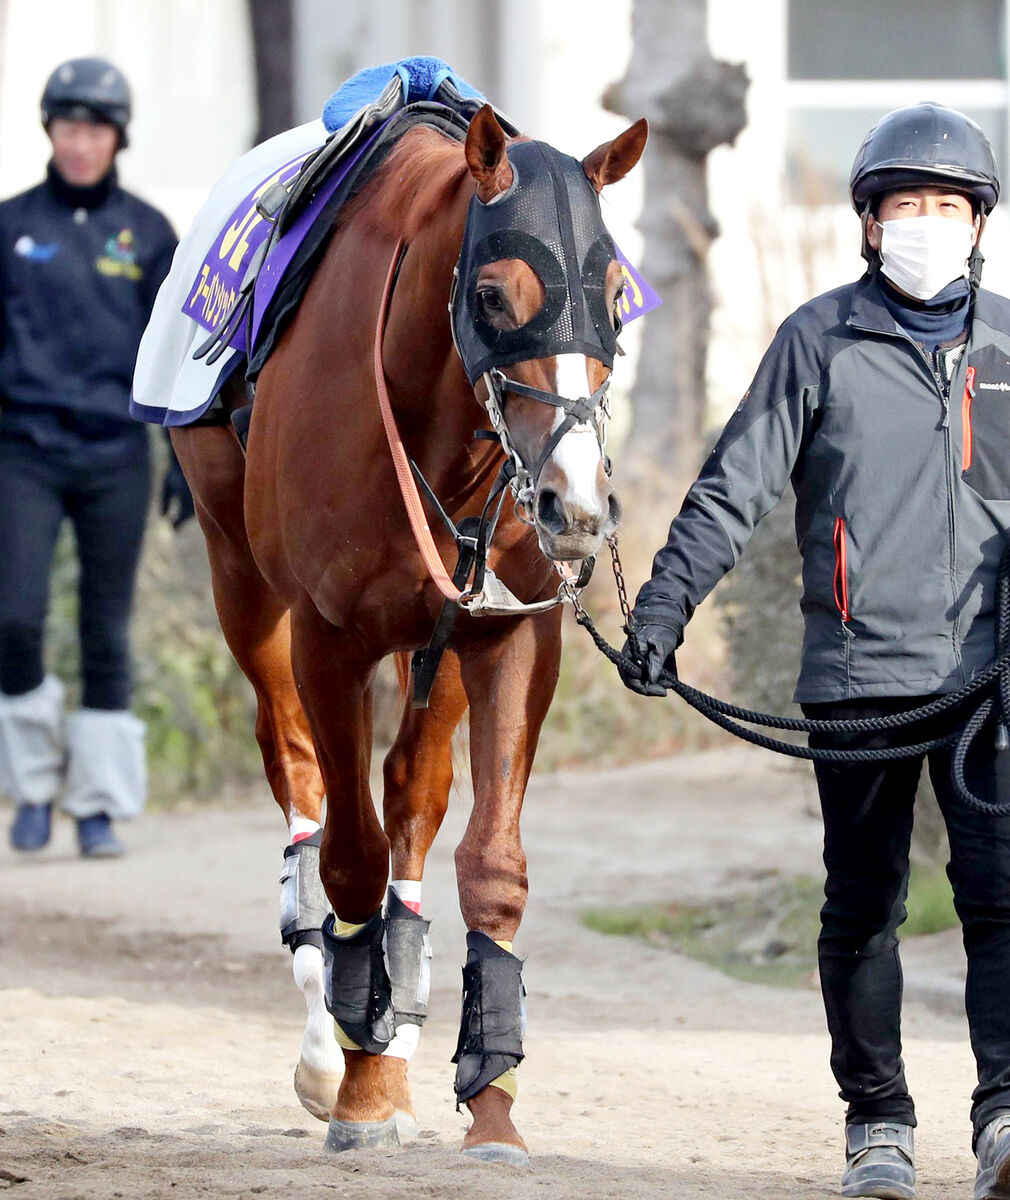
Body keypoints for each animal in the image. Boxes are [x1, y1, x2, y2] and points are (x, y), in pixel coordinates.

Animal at [171, 105, 647, 1161]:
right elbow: (349, 852)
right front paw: (354, 1085)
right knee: (296, 767)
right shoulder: (329, 634)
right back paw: (335, 1034)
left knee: (414, 795)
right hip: (240, 578)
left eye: (611, 294)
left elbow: (490, 862)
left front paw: (492, 1098)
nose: (576, 502)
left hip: (442, 632)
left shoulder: (508, 633)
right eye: (495, 294)